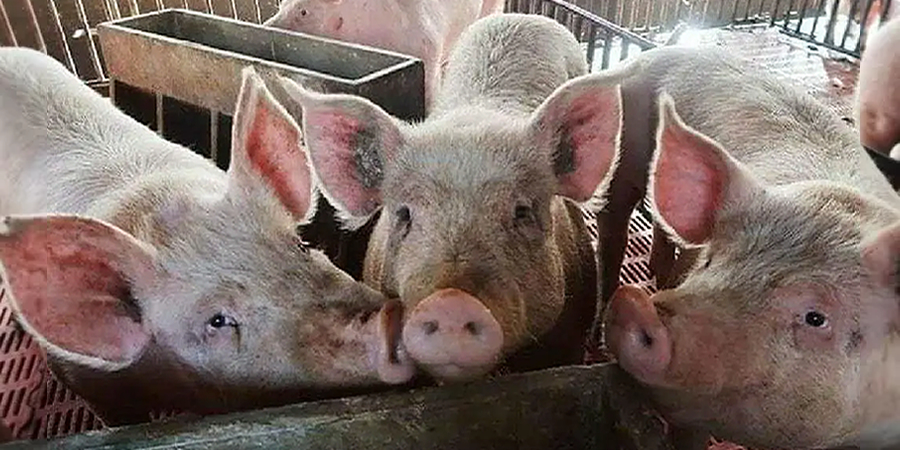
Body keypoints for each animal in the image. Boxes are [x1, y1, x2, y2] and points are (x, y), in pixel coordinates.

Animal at [601, 45, 900, 449]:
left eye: (816, 317)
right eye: (710, 261)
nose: (639, 306)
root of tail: (655, 54)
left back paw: (659, 273)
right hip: (625, 144)